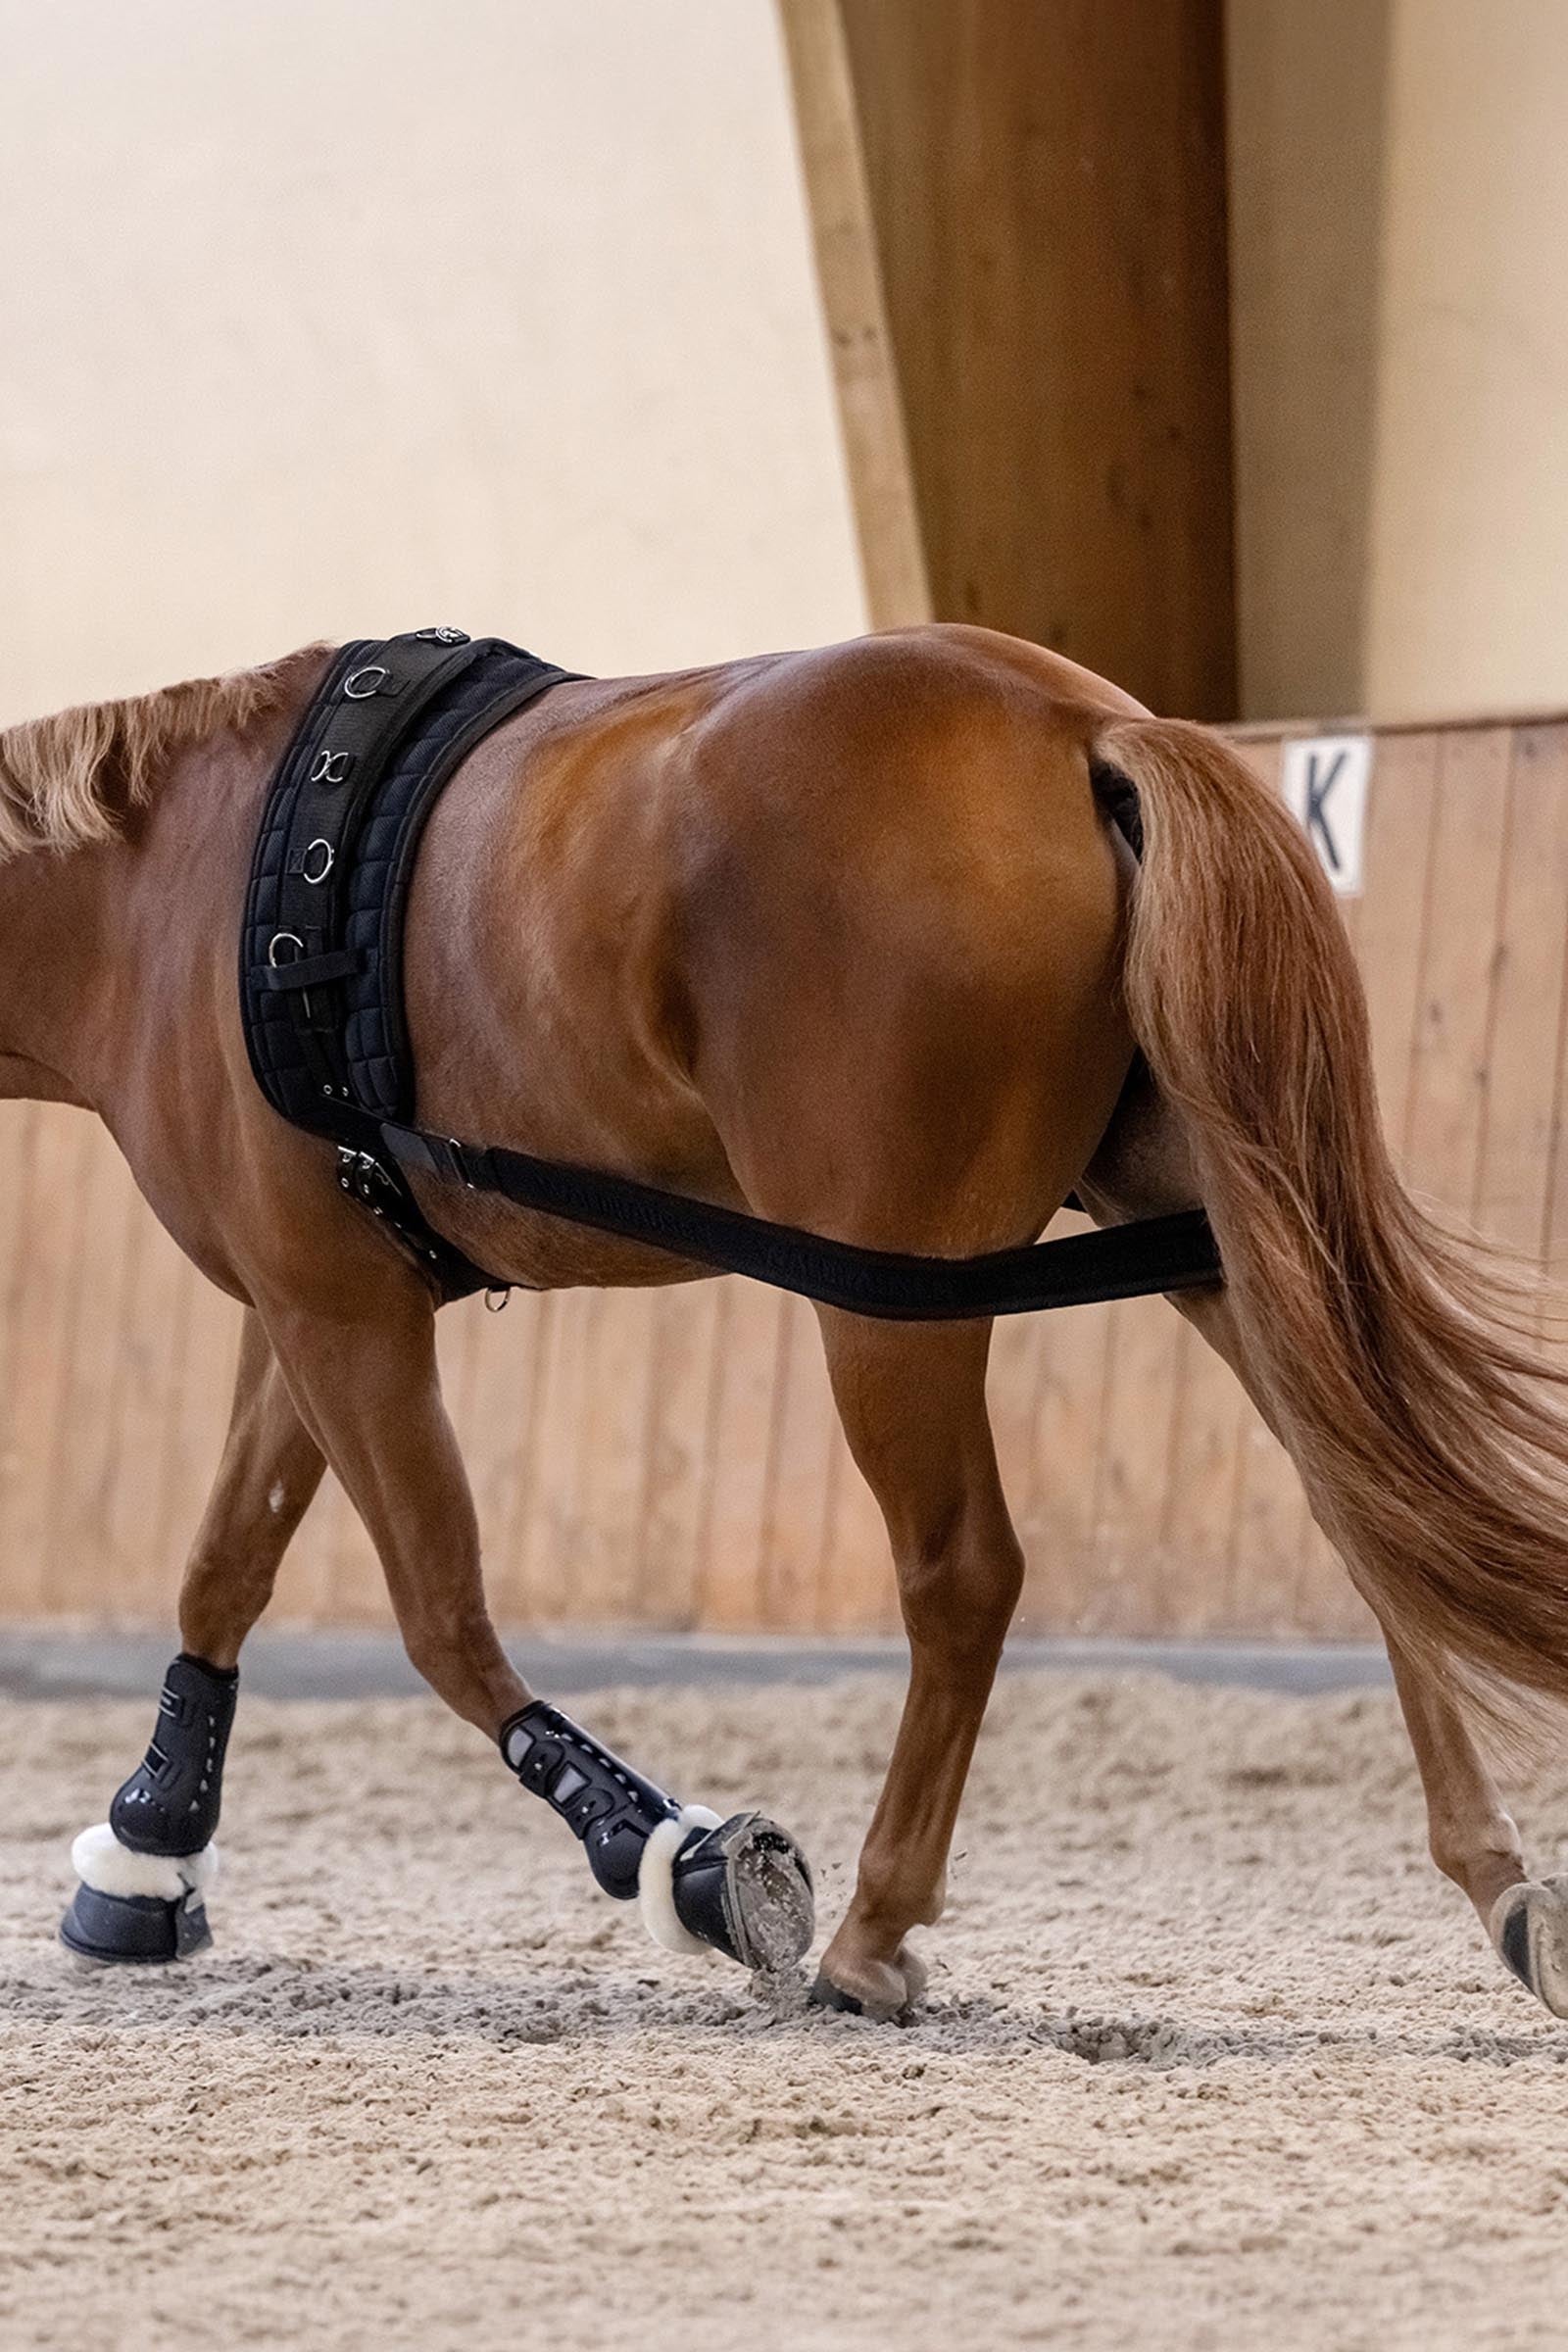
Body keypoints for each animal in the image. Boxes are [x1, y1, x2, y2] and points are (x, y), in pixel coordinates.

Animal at [5, 619, 1568, 2018]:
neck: (182, 887)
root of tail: (1079, 729)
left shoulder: (339, 1315)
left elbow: (440, 1619)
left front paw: (684, 1863)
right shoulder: (312, 1305)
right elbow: (227, 1566)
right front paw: (144, 1856)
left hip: (888, 1308)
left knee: (965, 1575)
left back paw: (872, 1931)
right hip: (1220, 1247)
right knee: (1368, 1514)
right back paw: (1500, 1882)